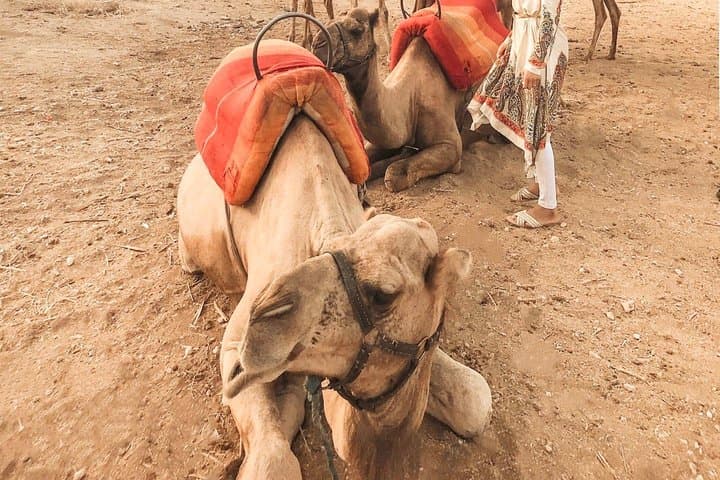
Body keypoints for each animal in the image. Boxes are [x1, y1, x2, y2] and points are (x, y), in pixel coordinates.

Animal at [177, 114, 492, 479]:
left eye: (384, 295)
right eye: (326, 254)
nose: (265, 321)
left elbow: (476, 400)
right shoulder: (234, 354)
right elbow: (273, 458)